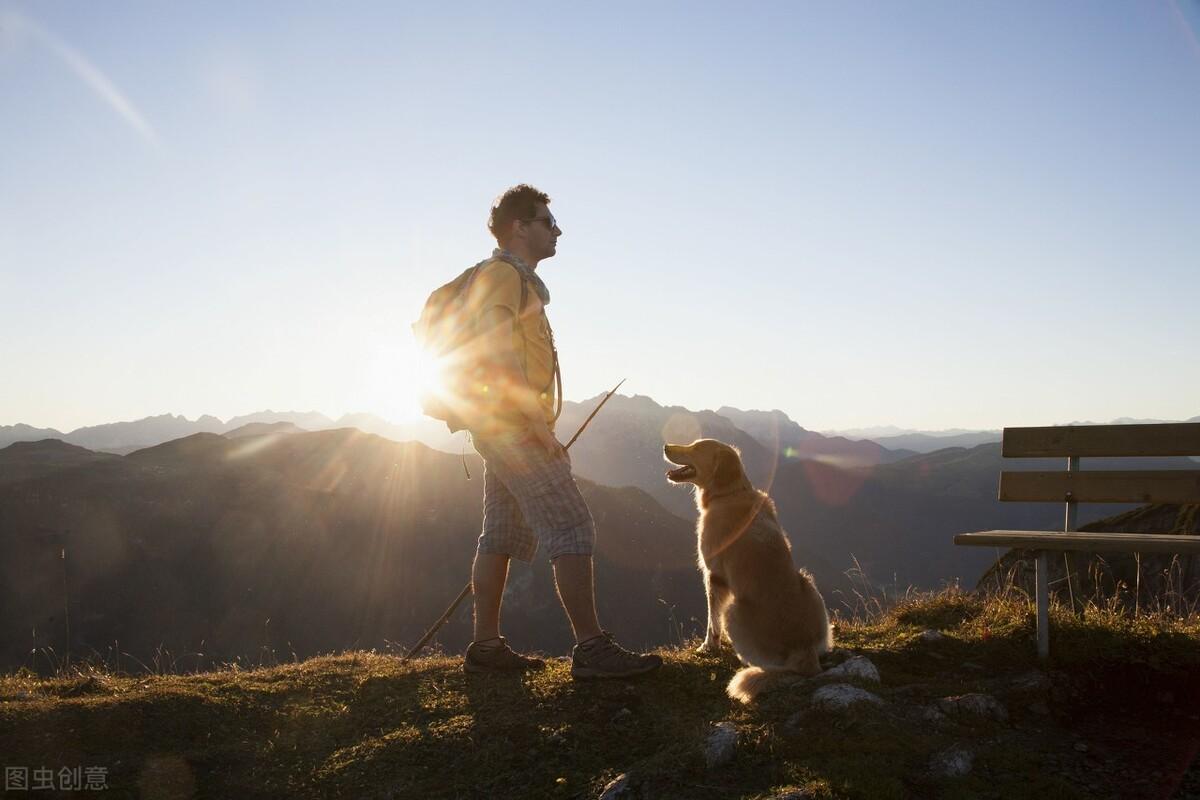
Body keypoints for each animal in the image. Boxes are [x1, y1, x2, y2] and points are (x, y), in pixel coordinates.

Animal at [662, 441, 830, 705]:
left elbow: (712, 621)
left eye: (697, 448)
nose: (666, 445)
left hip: (734, 611)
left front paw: (708, 647)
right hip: (809, 584)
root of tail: (804, 651)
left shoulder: (713, 575)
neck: (729, 493)